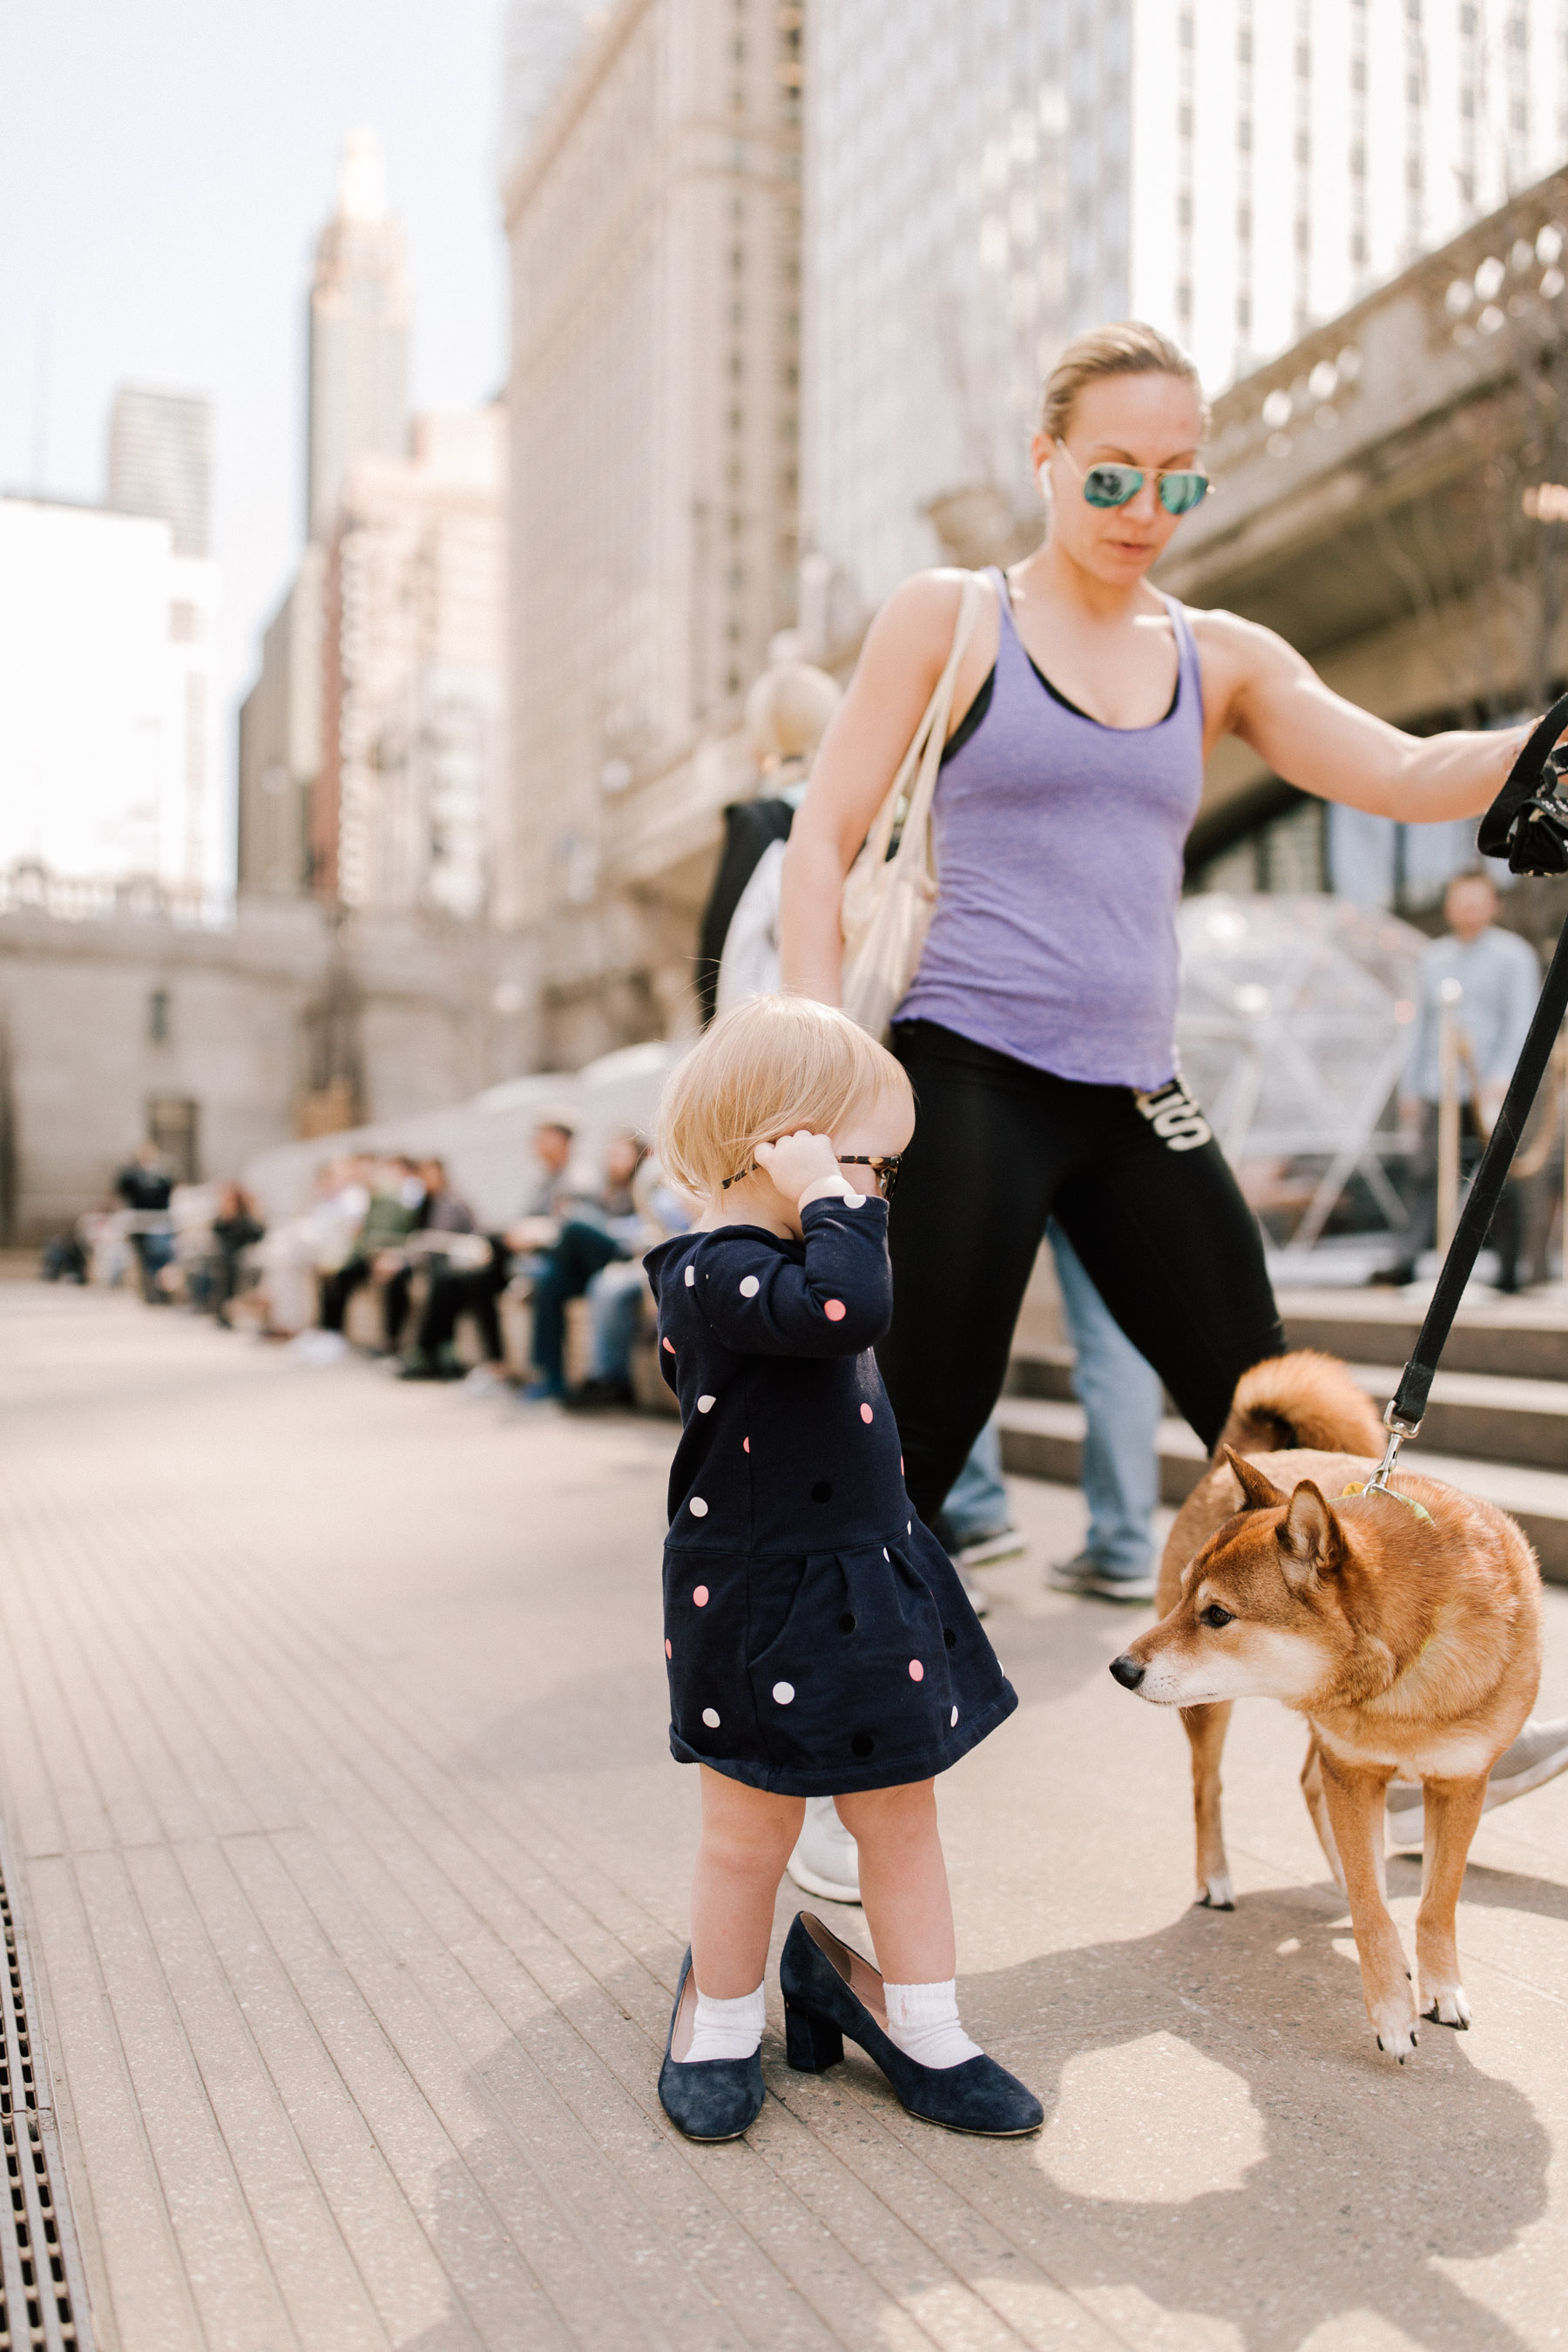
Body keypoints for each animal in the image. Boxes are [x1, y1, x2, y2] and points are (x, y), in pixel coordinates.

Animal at [1109, 1364, 1542, 2060]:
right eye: (1183, 1600)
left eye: (1217, 1615)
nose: (1120, 1668)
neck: (1406, 1658)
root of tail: (1258, 1453)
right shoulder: (1355, 1770)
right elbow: (1372, 1909)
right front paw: (1391, 2011)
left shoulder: (1459, 1782)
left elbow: (1438, 1900)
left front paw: (1441, 1987)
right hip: (1217, 1714)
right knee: (1209, 1788)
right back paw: (1216, 1880)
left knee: (1311, 1785)